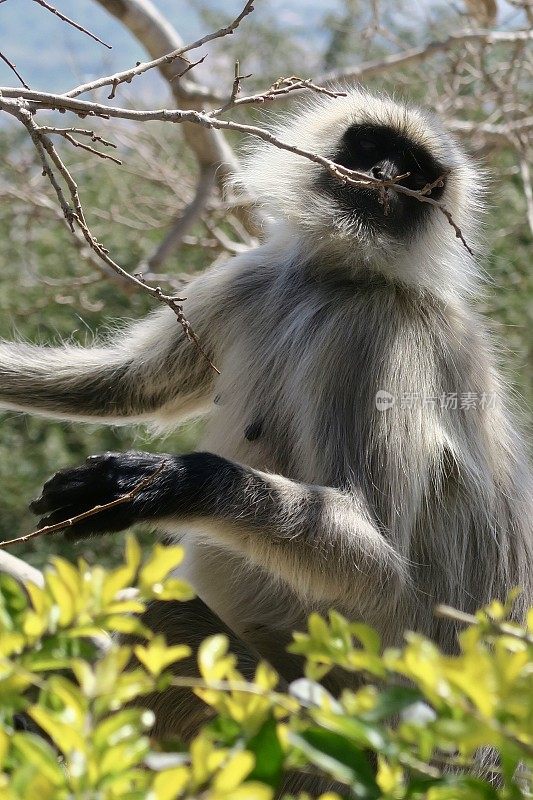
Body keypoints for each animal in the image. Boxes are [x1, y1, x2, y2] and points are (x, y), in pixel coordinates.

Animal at [1, 92, 532, 744]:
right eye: (371, 147)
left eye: (412, 175)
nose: (383, 176)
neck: (338, 279)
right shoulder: (254, 278)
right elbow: (129, 386)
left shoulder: (382, 334)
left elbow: (383, 568)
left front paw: (162, 483)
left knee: (164, 618)